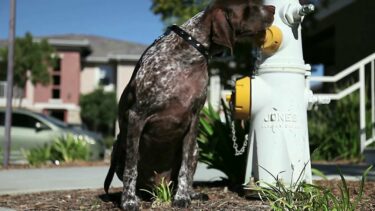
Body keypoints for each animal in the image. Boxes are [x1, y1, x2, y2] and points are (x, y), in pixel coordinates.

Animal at [104, 0, 274, 209]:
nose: (273, 8)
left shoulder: (193, 121)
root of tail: (160, 188)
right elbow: (131, 167)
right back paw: (135, 195)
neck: (188, 57)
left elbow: (184, 169)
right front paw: (128, 201)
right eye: (249, 6)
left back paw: (190, 193)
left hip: (196, 151)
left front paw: (183, 197)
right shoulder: (137, 116)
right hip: (118, 146)